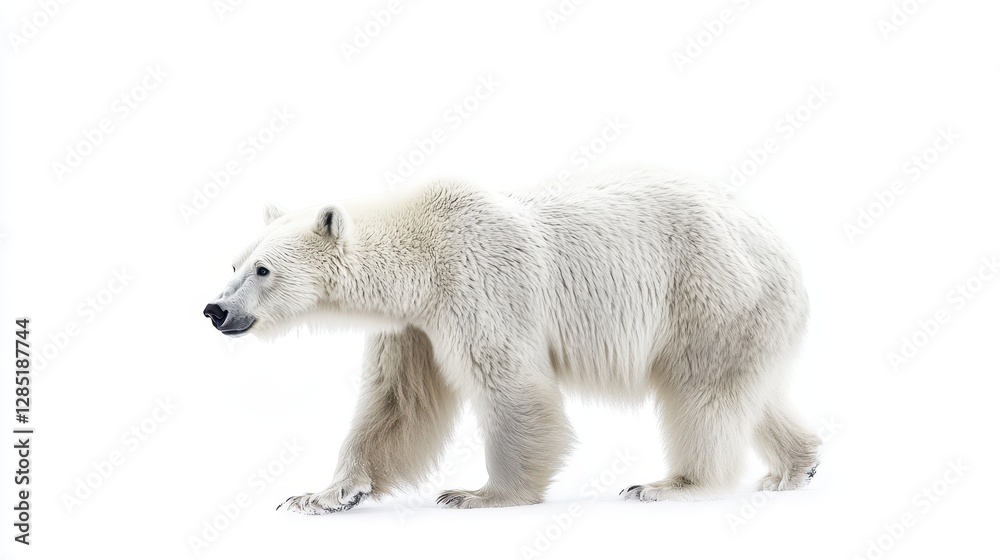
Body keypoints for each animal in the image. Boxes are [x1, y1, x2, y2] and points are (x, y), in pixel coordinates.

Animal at [203, 165, 820, 513]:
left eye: (262, 269)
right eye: (233, 263)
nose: (215, 309)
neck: (423, 249)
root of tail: (777, 239)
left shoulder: (479, 283)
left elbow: (510, 386)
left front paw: (479, 494)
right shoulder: (413, 326)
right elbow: (396, 403)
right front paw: (320, 495)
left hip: (708, 294)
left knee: (703, 393)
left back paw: (670, 484)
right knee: (754, 394)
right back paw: (796, 467)